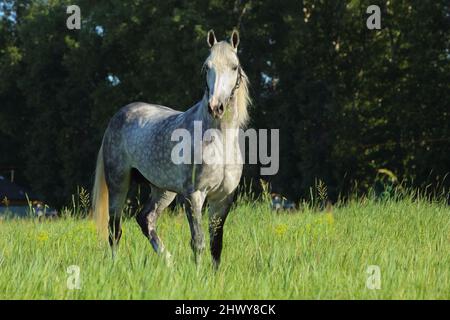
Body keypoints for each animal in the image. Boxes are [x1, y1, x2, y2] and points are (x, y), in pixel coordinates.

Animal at [92, 29, 250, 268]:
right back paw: (115, 265)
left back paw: (169, 263)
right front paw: (197, 273)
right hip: (119, 184)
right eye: (206, 67)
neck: (219, 140)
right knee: (114, 229)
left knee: (145, 219)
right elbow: (198, 241)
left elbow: (216, 244)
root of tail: (119, 116)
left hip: (162, 190)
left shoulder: (223, 199)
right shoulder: (194, 195)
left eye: (234, 66)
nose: (216, 107)